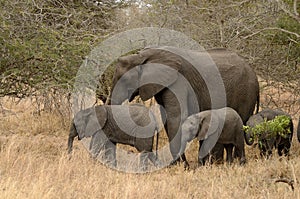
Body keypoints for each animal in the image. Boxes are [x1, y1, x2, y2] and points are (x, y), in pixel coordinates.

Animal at [108, 46, 260, 165]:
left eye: (125, 79)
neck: (143, 56)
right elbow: (167, 120)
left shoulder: (178, 81)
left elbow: (175, 118)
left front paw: (183, 165)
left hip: (246, 92)